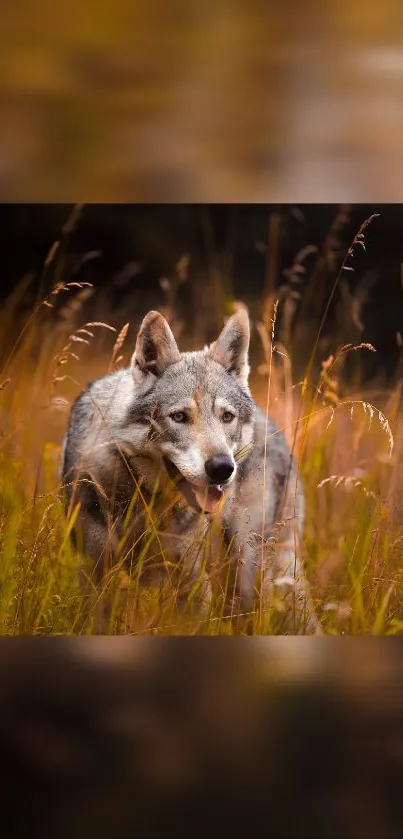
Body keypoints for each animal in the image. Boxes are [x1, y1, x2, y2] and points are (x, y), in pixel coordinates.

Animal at [61, 312, 322, 632]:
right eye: (179, 417)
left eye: (226, 417)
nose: (222, 468)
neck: (147, 504)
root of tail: (275, 426)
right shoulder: (94, 575)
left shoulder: (192, 582)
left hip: (250, 571)